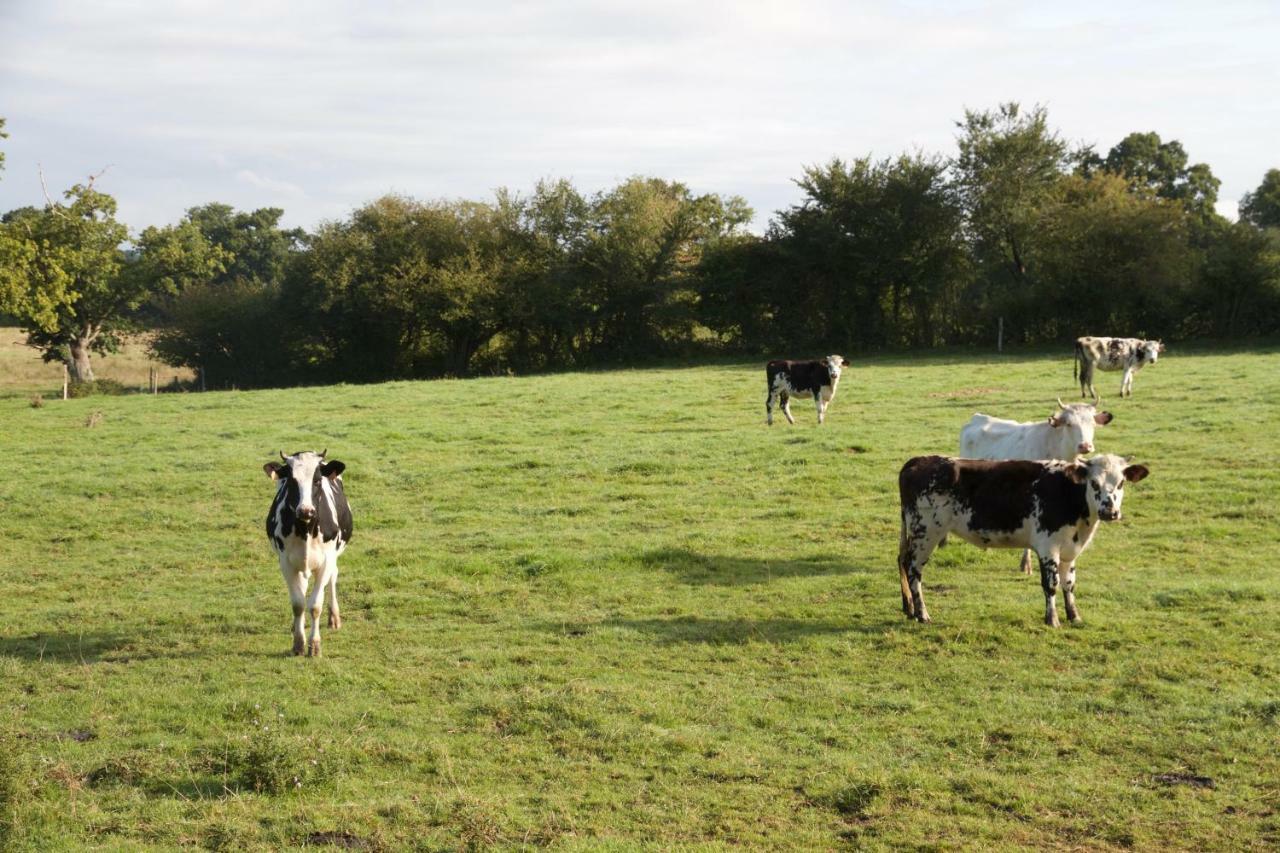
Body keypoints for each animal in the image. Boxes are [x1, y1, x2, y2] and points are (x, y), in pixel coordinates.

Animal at [261, 448, 353, 653]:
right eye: (291, 481)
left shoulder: (327, 560)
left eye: (317, 480)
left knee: (333, 578)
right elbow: (298, 603)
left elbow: (315, 605)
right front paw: (298, 642)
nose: (306, 510)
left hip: (333, 556)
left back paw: (334, 618)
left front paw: (314, 645)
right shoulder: (286, 562)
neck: (305, 530)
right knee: (302, 588)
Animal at [896, 450, 1157, 625]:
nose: (1110, 511)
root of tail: (919, 460)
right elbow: (1051, 584)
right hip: (926, 533)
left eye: (1121, 483)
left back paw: (909, 609)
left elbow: (1069, 583)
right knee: (913, 569)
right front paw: (1052, 619)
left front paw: (1074, 616)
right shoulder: (1048, 546)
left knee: (902, 561)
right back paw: (922, 613)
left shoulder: (1069, 551)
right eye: (1094, 483)